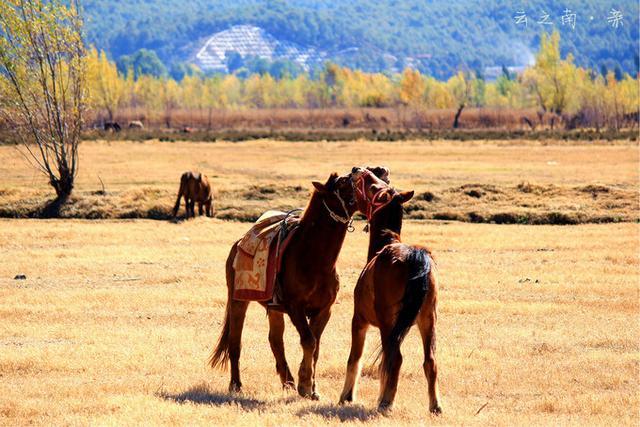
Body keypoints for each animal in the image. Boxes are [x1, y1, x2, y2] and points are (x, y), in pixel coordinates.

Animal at [209, 167, 390, 399]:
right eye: (342, 183)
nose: (375, 172)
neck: (313, 258)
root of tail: (238, 243)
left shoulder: (324, 310)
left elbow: (315, 347)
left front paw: (312, 388)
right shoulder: (296, 308)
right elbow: (309, 341)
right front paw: (305, 385)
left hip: (274, 309)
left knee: (275, 340)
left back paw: (287, 382)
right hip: (238, 301)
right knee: (235, 342)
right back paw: (236, 385)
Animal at [339, 183, 442, 414]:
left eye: (373, 189)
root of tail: (414, 256)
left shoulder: (359, 320)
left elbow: (354, 358)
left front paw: (346, 397)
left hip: (388, 322)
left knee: (395, 358)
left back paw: (386, 402)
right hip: (427, 319)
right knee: (429, 361)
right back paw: (435, 405)